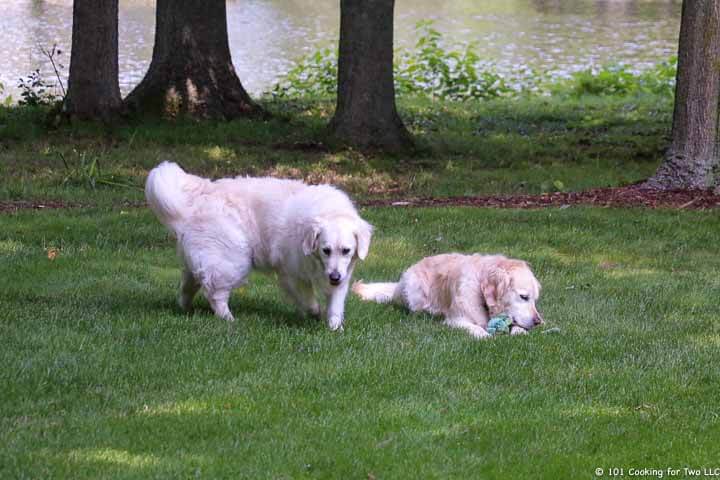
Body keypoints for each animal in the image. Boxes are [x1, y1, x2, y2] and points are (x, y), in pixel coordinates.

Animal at [144, 162, 374, 330]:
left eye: (346, 251)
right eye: (326, 250)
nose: (334, 277)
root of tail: (203, 193)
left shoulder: (342, 276)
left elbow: (335, 305)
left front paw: (335, 328)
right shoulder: (291, 273)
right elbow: (309, 300)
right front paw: (314, 313)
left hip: (199, 262)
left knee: (188, 286)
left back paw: (185, 309)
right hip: (232, 260)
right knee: (215, 293)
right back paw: (229, 319)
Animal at [352, 253, 544, 340]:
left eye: (535, 300)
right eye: (523, 297)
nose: (538, 322)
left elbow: (518, 327)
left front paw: (519, 331)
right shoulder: (456, 320)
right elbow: (476, 329)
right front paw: (485, 335)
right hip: (415, 292)